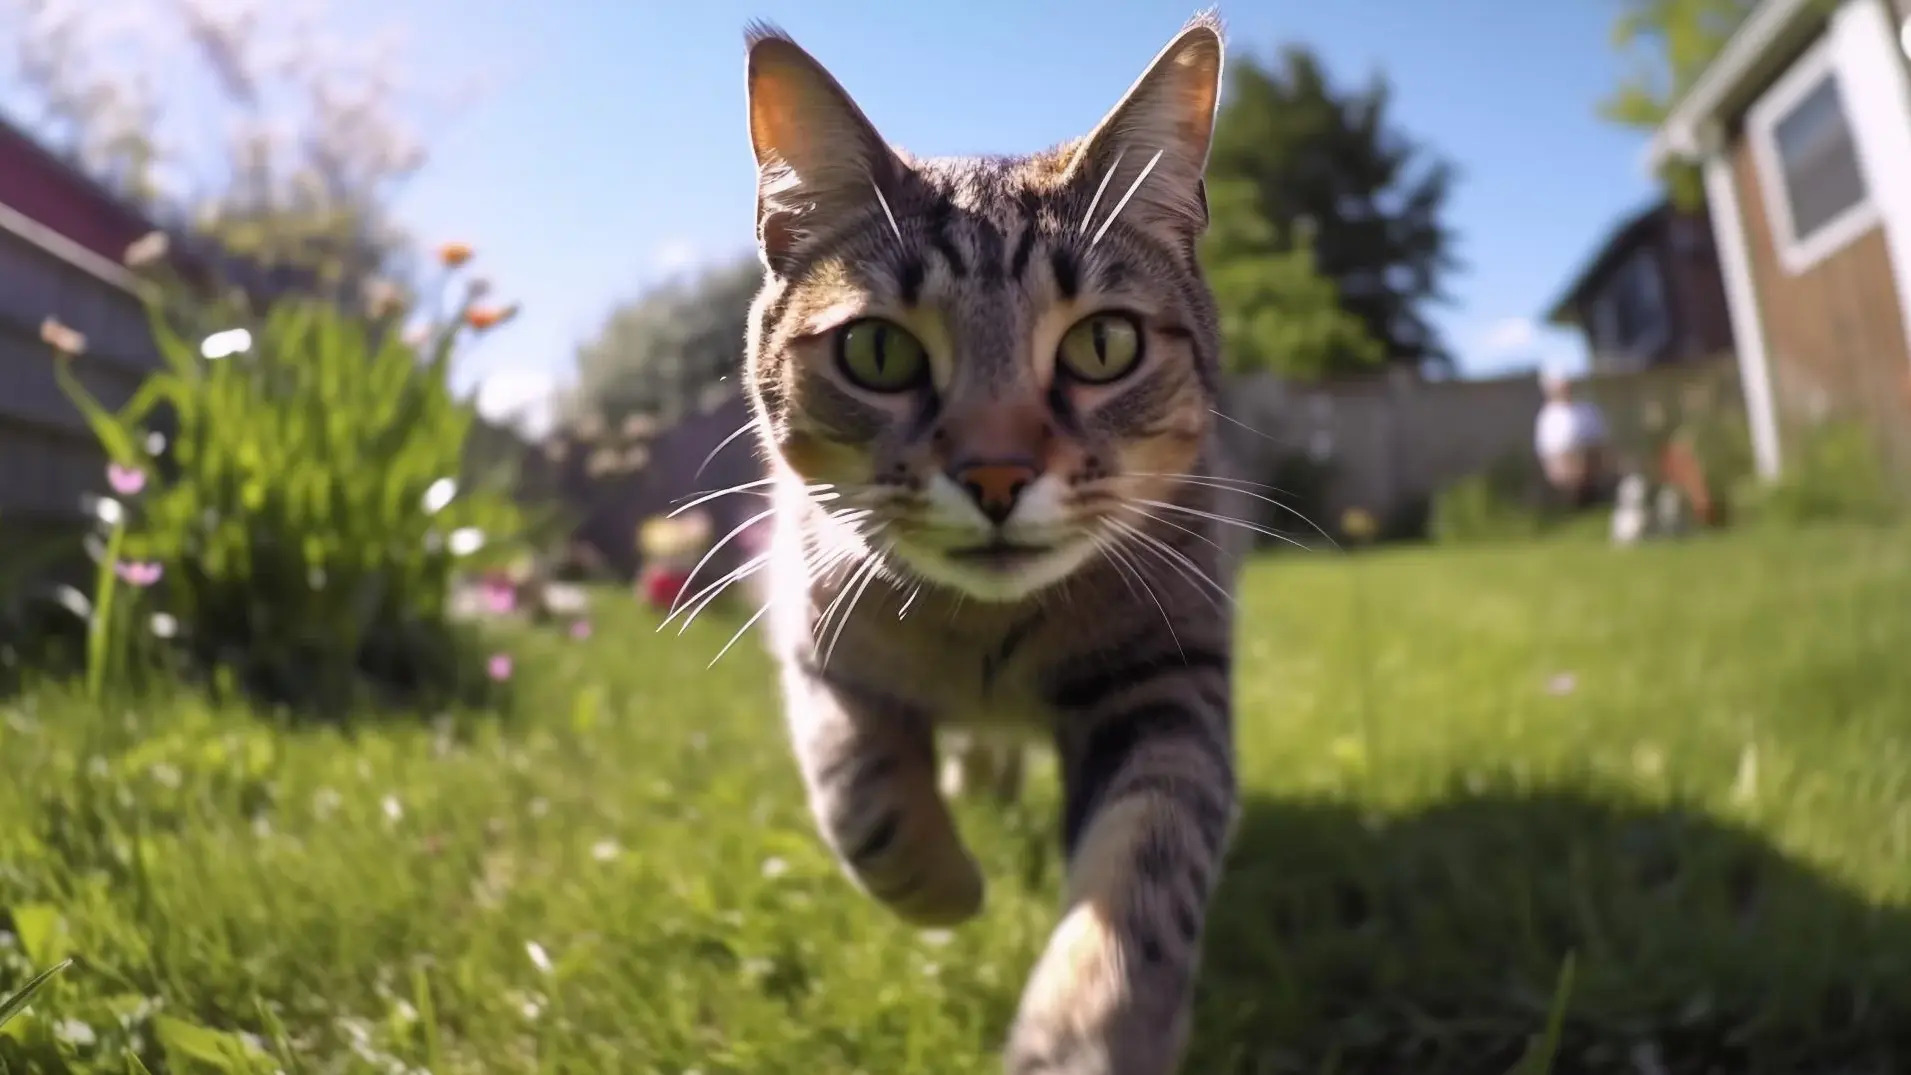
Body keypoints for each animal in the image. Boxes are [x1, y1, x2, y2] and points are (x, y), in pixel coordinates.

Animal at [737, 12, 1245, 1069]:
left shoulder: (1169, 676)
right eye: (877, 351)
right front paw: (947, 887)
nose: (997, 475)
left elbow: (1145, 864)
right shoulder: (815, 643)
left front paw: (1086, 1029)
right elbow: (860, 792)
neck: (986, 640)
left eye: (1104, 344)